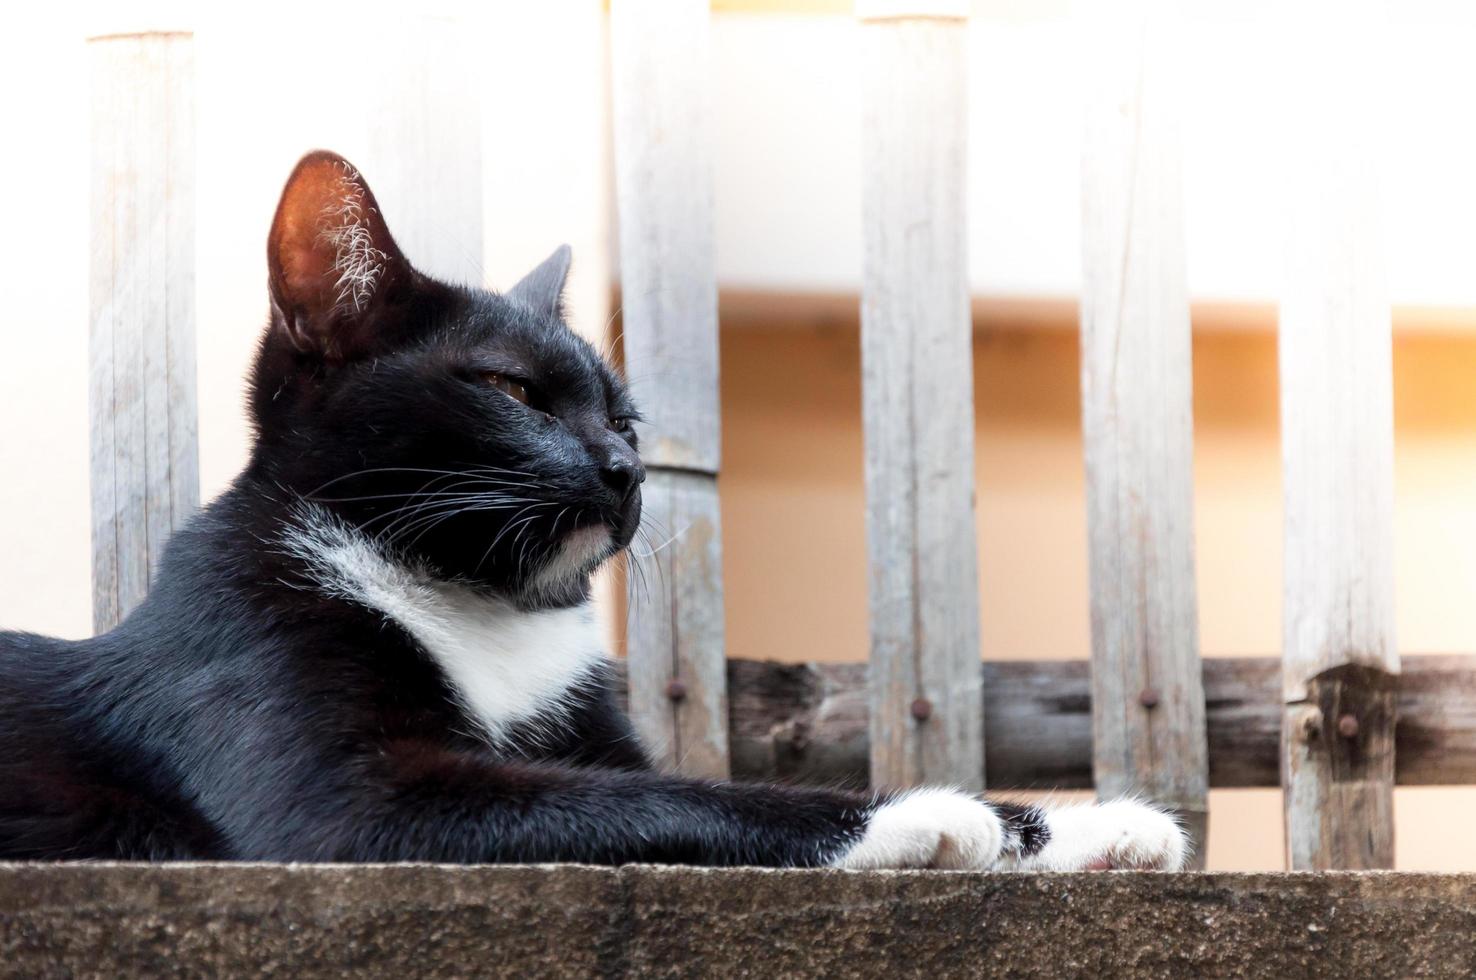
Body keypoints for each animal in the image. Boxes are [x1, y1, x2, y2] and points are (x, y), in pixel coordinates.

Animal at [0, 153, 1180, 873]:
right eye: (512, 390)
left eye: (623, 414)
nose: (625, 467)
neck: (471, 603)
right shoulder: (339, 795)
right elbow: (678, 798)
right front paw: (920, 814)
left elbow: (650, 779)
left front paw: (1089, 826)